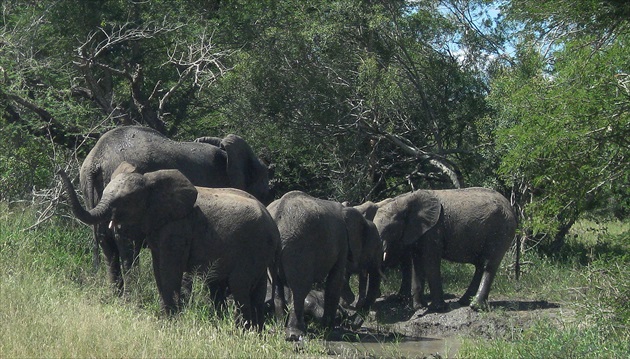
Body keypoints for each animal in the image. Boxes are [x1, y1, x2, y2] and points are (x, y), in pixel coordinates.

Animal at [59, 164, 278, 332]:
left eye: (125, 201)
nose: (61, 171)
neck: (150, 180)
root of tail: (271, 219)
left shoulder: (177, 227)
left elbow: (168, 269)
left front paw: (169, 322)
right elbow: (159, 270)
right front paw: (166, 318)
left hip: (252, 248)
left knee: (240, 287)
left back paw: (242, 332)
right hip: (261, 252)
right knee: (255, 292)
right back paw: (256, 334)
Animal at [78, 126, 270, 296]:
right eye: (263, 192)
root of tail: (96, 160)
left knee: (107, 245)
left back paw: (116, 298)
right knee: (127, 246)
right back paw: (132, 300)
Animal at [266, 190, 380, 342]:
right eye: (375, 248)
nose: (351, 324)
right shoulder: (342, 242)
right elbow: (336, 280)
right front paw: (329, 329)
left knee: (277, 285)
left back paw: (280, 327)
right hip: (298, 248)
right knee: (300, 289)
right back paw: (295, 334)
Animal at [372, 188, 516, 312]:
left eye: (390, 228)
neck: (405, 200)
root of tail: (510, 207)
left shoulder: (434, 230)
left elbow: (430, 262)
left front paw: (438, 309)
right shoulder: (419, 231)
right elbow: (417, 265)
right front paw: (419, 307)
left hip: (500, 230)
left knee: (488, 265)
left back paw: (475, 307)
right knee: (480, 266)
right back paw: (463, 302)